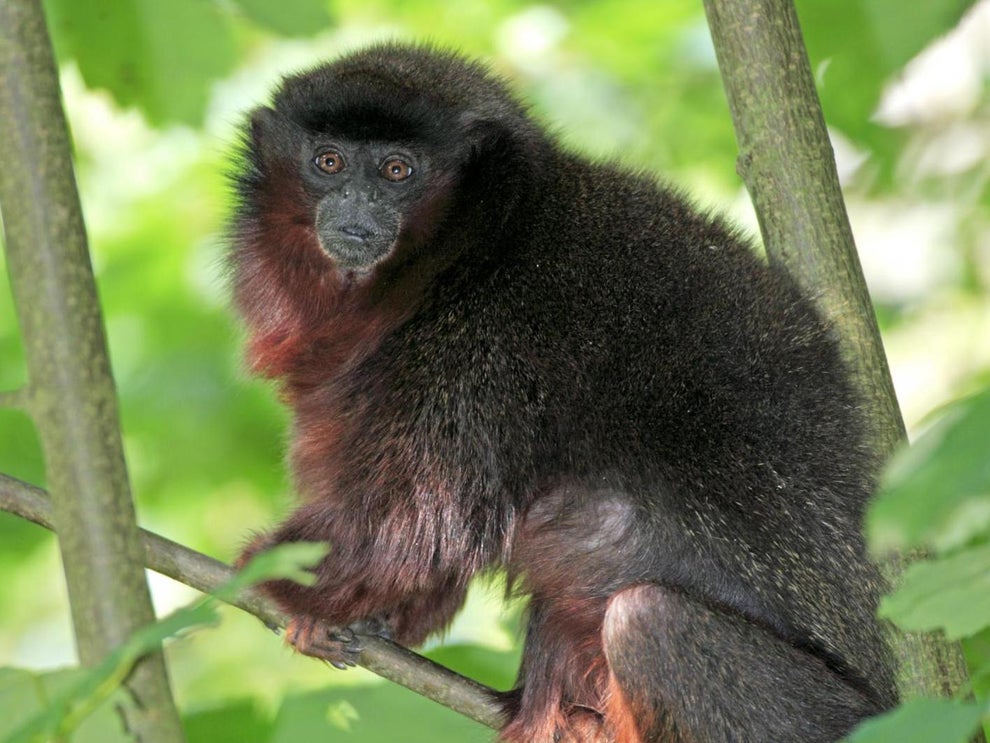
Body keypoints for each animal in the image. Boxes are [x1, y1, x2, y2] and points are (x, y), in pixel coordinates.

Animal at [229, 43, 898, 742]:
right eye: (328, 161)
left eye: (395, 169)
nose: (355, 205)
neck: (469, 254)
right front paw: (353, 622)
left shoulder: (479, 353)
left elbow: (406, 528)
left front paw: (259, 577)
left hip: (839, 720)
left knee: (649, 622)